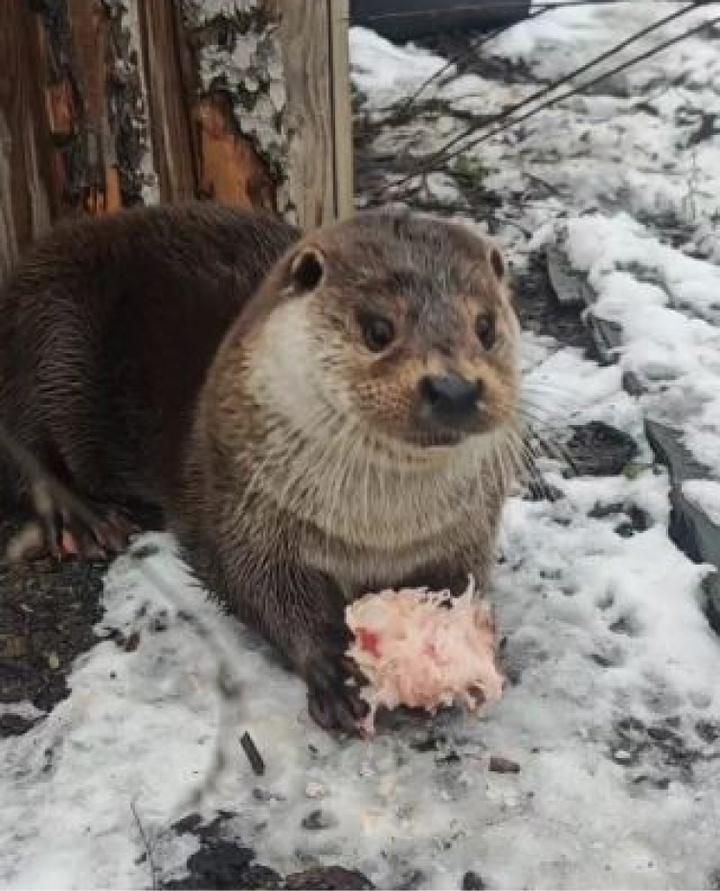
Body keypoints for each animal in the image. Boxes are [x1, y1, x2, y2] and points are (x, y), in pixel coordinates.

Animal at [0, 202, 520, 732]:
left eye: (485, 327)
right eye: (378, 330)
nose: (455, 388)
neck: (377, 534)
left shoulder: (465, 529)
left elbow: (466, 580)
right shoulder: (242, 501)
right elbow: (255, 584)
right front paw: (334, 671)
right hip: (53, 325)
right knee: (22, 433)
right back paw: (82, 517)